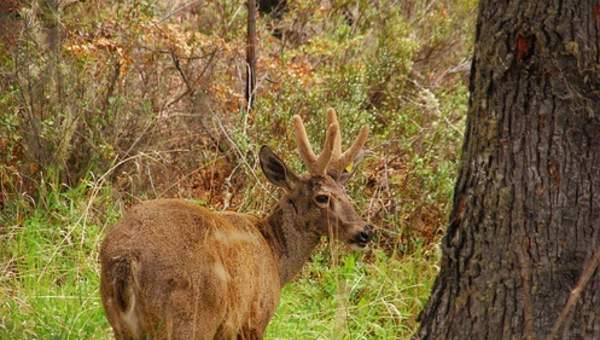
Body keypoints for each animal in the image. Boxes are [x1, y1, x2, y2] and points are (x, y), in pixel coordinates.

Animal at [101, 109, 376, 340]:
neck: (276, 256)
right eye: (322, 197)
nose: (365, 232)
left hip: (121, 323)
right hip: (188, 318)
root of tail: (126, 259)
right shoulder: (253, 319)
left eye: (345, 192)